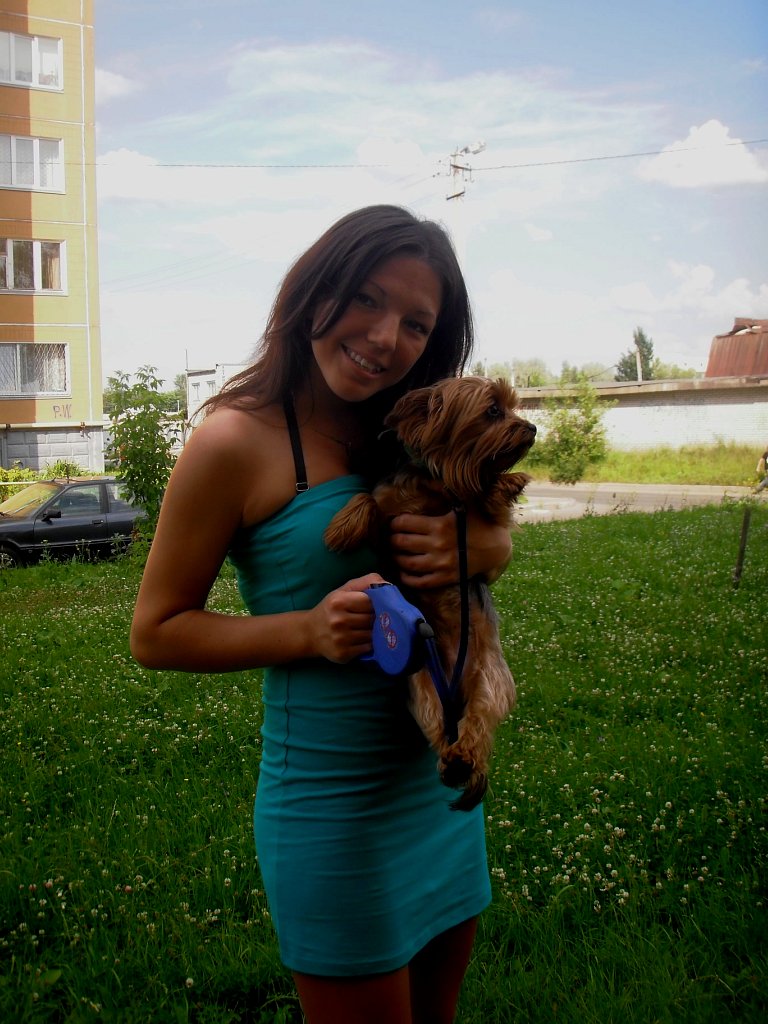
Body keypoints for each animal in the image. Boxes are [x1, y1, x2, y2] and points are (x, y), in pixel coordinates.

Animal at [324, 376, 536, 810]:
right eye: (494, 410)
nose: (532, 428)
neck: (440, 484)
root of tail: (458, 685)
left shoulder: (479, 513)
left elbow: (491, 500)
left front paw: (506, 481)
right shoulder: (389, 521)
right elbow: (367, 499)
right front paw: (342, 528)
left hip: (492, 679)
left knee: (479, 722)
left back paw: (464, 757)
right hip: (421, 683)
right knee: (438, 726)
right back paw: (452, 761)